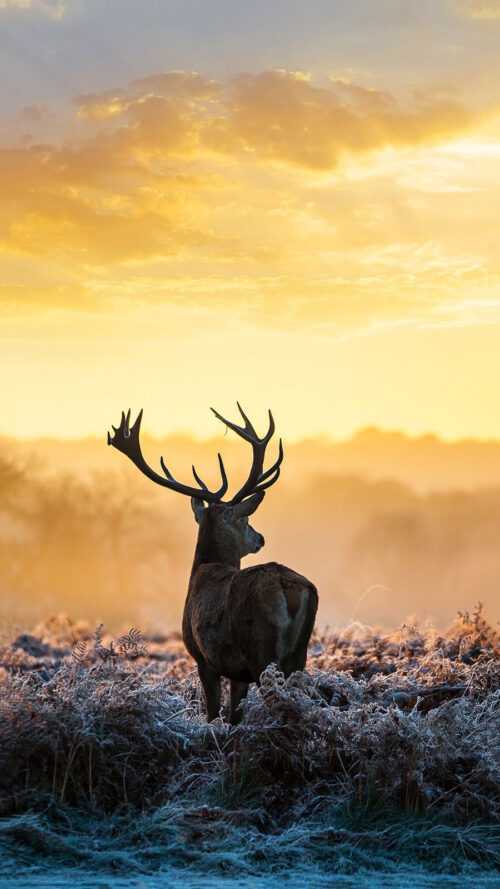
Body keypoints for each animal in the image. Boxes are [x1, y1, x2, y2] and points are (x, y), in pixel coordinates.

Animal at [107, 404, 318, 724]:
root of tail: (287, 587)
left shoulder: (204, 658)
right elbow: (233, 716)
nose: (260, 538)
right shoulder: (237, 672)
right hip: (298, 656)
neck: (204, 569)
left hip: (261, 651)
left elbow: (213, 714)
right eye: (245, 519)